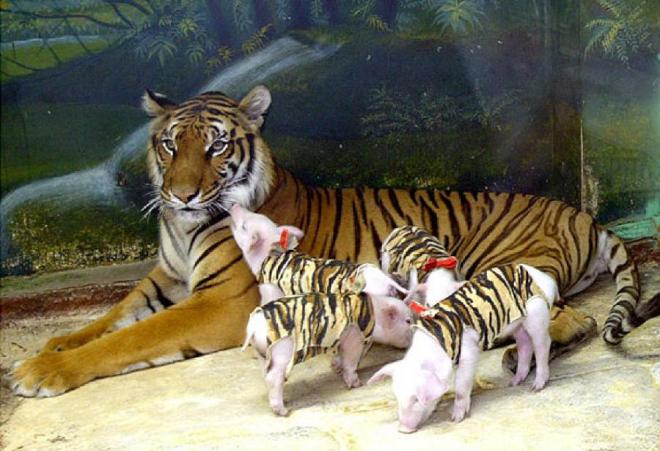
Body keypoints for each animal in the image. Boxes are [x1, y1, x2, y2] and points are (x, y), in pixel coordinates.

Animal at [10, 85, 659, 398]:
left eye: (216, 146)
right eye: (171, 144)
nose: (182, 194)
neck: (183, 226)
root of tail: (584, 215)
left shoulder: (220, 303)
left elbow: (130, 339)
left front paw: (42, 372)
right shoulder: (164, 280)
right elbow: (104, 320)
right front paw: (50, 347)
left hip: (492, 265)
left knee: (565, 317)